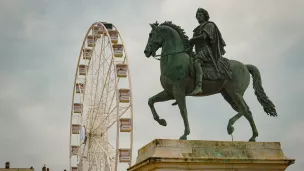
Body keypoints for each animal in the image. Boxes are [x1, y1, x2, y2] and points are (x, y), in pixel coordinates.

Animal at [144, 21, 276, 142]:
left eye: (151, 34)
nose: (146, 52)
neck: (174, 58)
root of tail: (244, 66)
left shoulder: (178, 91)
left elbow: (183, 112)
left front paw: (185, 134)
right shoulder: (169, 93)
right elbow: (150, 101)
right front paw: (162, 121)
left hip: (235, 93)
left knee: (244, 109)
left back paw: (233, 128)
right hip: (228, 95)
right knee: (246, 111)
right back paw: (251, 136)